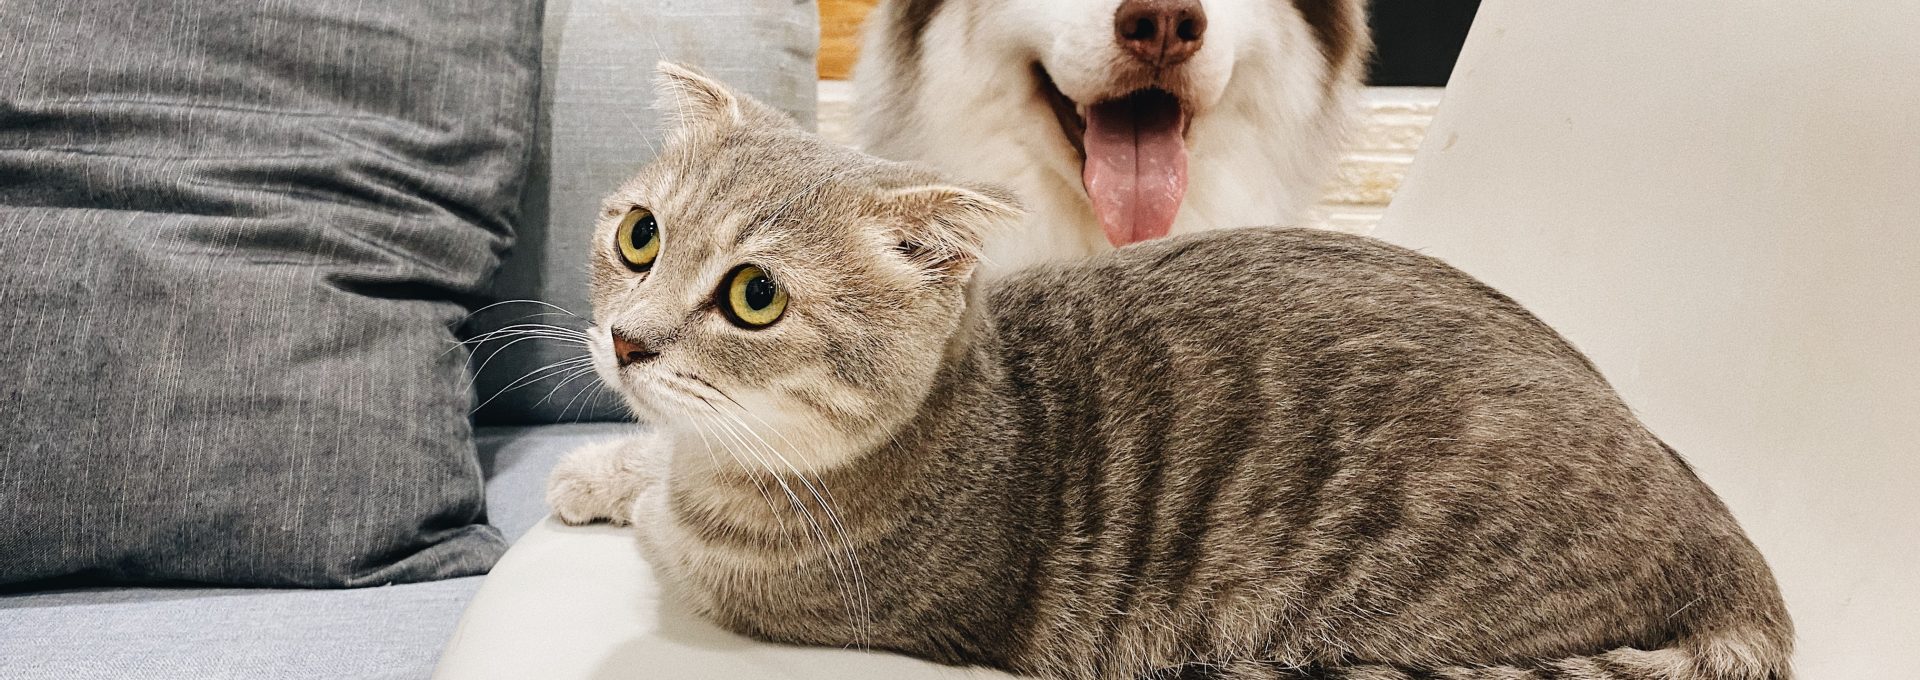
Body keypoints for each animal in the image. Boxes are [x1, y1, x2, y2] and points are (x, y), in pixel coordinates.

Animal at [545, 63, 1797, 680]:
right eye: (640, 234)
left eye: (754, 296)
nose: (628, 338)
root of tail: (1736, 553)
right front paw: (602, 466)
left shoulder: (773, 595)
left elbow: (669, 520)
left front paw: (630, 485)